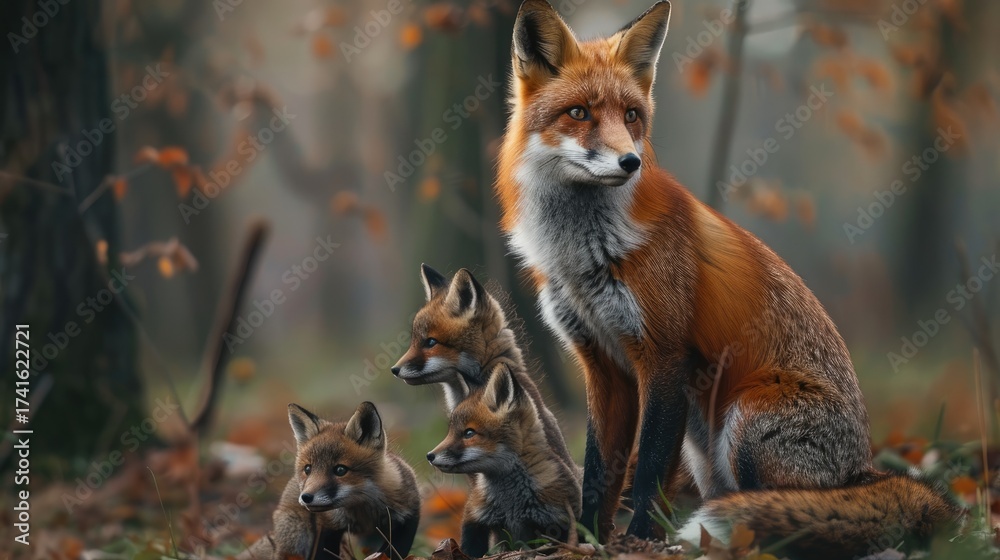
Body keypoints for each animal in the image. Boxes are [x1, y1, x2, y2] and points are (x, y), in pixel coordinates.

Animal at [238, 402, 420, 560]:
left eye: (340, 470)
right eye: (308, 469)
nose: (306, 497)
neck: (363, 509)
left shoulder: (408, 517)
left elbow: (393, 552)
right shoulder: (328, 527)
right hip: (296, 533)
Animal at [427, 364, 582, 558]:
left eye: (469, 433)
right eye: (451, 432)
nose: (429, 455)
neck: (511, 504)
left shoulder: (558, 518)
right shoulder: (475, 518)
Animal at [494, 0, 960, 553]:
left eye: (631, 116)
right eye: (579, 113)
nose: (630, 161)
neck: (582, 254)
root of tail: (861, 469)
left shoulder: (665, 356)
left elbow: (648, 471)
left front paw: (641, 541)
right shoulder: (603, 365)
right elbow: (599, 470)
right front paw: (588, 538)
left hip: (746, 423)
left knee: (788, 513)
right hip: (706, 451)